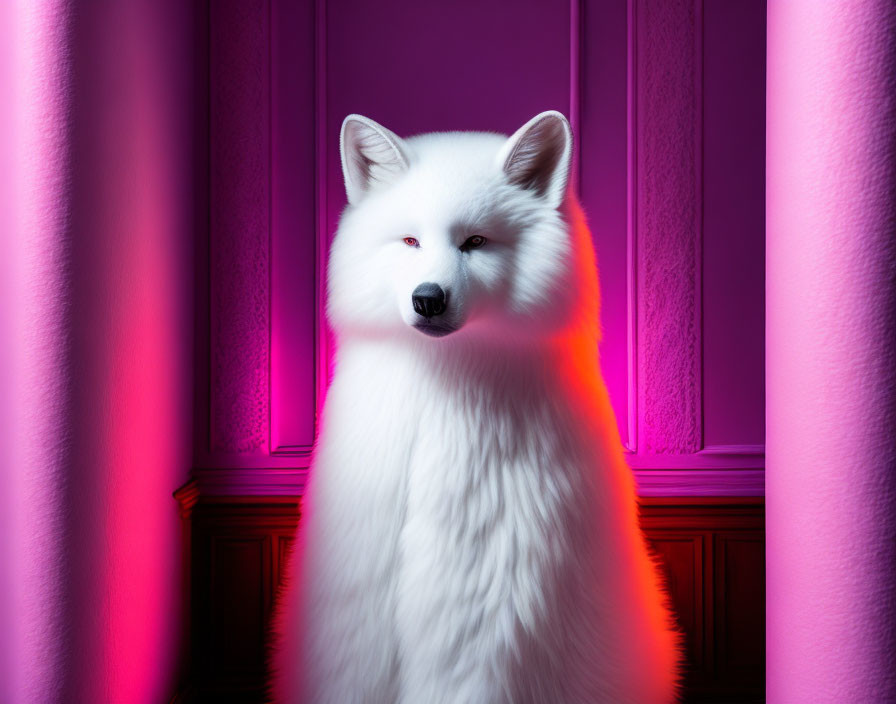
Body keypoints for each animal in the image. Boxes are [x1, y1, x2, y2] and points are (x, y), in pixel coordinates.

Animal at [266, 113, 680, 700]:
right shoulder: (358, 596)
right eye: (410, 240)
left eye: (476, 242)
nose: (428, 298)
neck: (442, 391)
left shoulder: (490, 607)